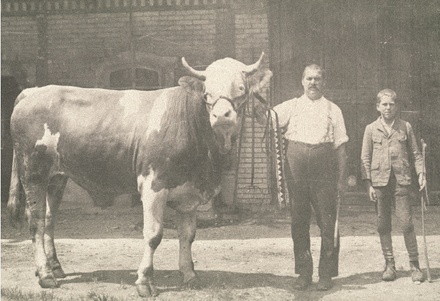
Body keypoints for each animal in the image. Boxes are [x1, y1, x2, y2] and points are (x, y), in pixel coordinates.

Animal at [7, 52, 272, 294]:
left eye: (241, 88)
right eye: (206, 93)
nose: (221, 116)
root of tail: (33, 91)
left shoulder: (188, 193)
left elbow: (188, 235)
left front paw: (189, 276)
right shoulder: (153, 184)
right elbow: (154, 235)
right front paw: (145, 281)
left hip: (57, 176)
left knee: (50, 218)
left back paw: (56, 267)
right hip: (33, 171)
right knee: (36, 221)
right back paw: (45, 275)